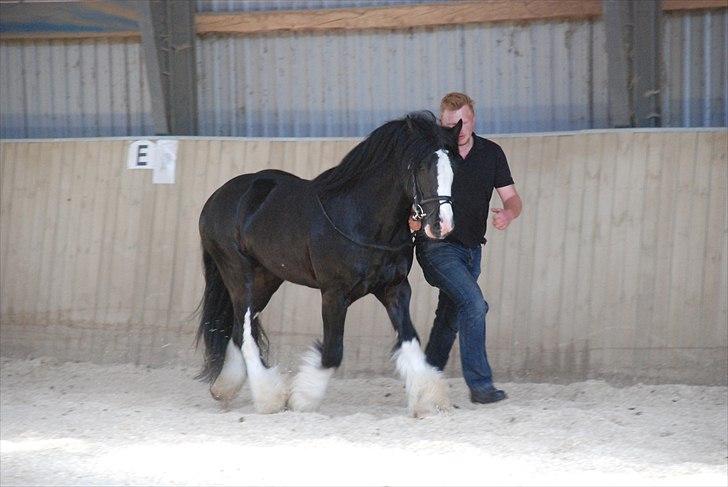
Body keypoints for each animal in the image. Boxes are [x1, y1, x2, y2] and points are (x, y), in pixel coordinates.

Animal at [196, 112, 464, 418]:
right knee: (244, 333)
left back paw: (225, 388)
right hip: (238, 275)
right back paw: (269, 398)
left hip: (266, 278)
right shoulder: (334, 294)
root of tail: (215, 198)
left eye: (454, 166)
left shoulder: (395, 289)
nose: (441, 225)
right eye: (420, 167)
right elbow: (332, 352)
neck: (360, 217)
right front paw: (301, 399)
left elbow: (410, 339)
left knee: (240, 329)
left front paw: (429, 400)